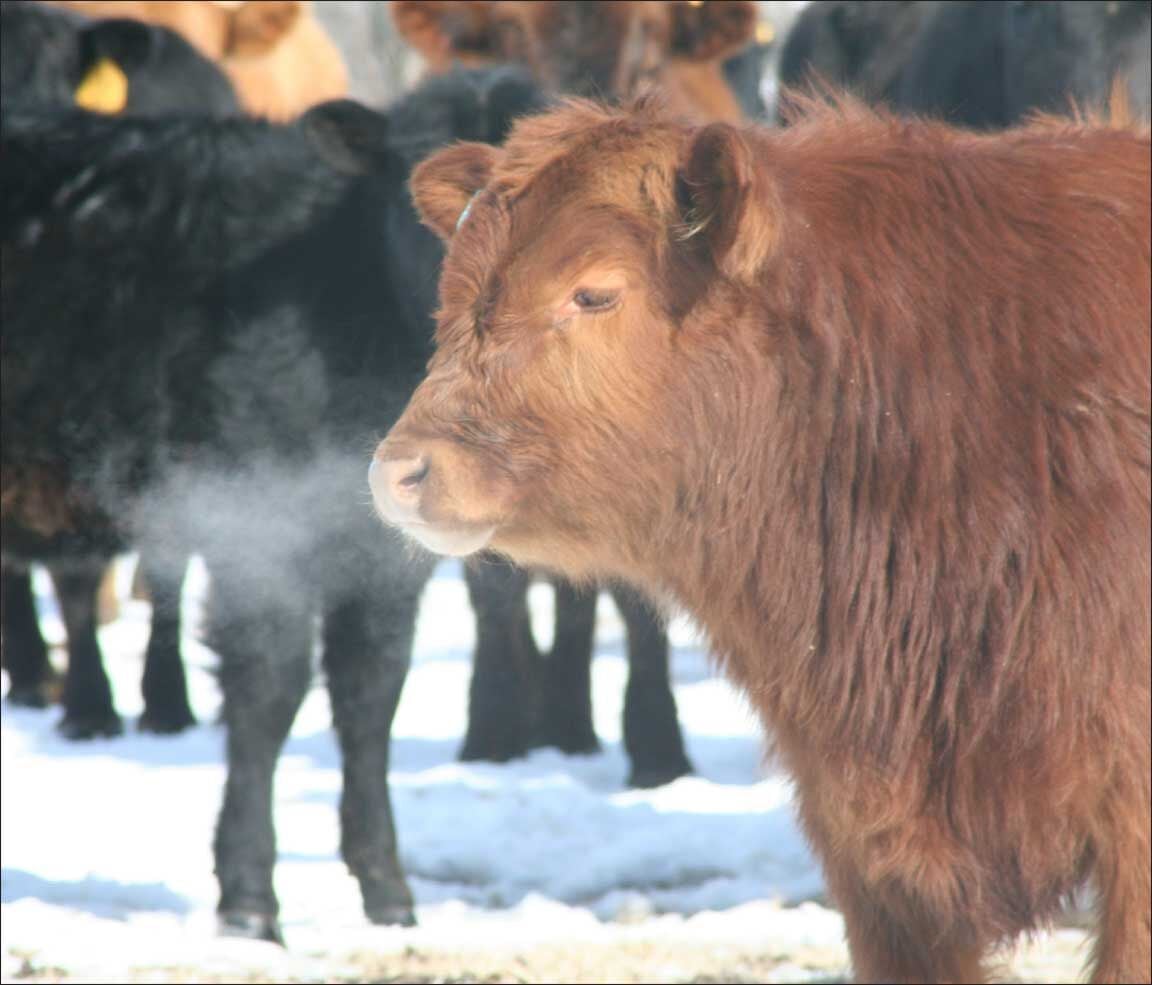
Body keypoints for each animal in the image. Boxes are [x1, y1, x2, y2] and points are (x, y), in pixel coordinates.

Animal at [2, 66, 544, 940]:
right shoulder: (252, 520)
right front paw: (250, 898)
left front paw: (386, 888)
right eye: (423, 189)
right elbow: (269, 689)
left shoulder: (381, 555)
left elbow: (369, 691)